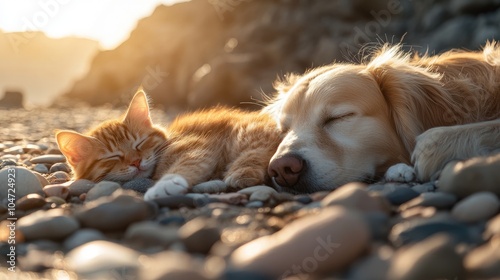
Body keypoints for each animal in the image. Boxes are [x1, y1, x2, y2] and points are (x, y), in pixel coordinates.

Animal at [56, 91, 284, 199]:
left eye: (139, 143)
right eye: (112, 157)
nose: (136, 162)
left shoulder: (198, 147)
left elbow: (185, 166)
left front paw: (163, 186)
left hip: (248, 134)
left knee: (257, 152)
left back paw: (240, 174)